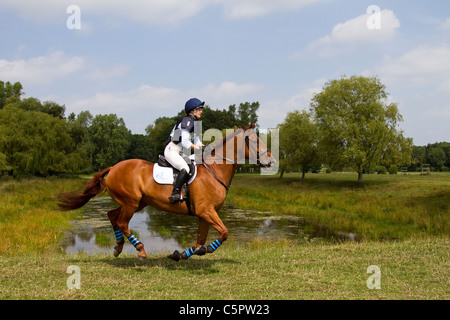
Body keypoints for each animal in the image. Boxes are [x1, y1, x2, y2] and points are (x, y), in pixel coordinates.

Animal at [58, 124, 276, 262]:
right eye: (255, 142)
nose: (272, 161)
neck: (214, 170)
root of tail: (113, 167)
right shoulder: (206, 211)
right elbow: (223, 233)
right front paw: (201, 251)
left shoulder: (205, 214)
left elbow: (200, 241)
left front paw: (180, 254)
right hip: (131, 202)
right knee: (121, 222)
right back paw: (141, 251)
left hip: (137, 203)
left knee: (112, 215)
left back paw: (118, 247)